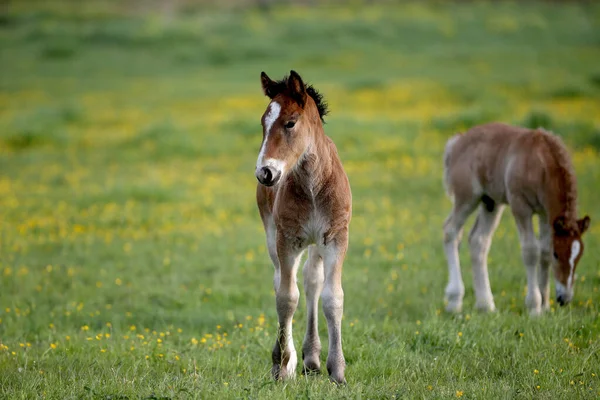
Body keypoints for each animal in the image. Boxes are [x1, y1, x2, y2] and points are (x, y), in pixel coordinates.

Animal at [254, 70, 352, 382]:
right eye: (263, 123)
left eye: (290, 122)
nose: (265, 172)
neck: (312, 185)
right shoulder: (287, 239)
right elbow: (286, 298)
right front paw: (283, 365)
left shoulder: (335, 237)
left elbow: (333, 298)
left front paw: (338, 370)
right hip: (272, 235)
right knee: (283, 282)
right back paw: (293, 359)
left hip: (316, 243)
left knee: (312, 281)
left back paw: (312, 357)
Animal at [442, 122, 588, 316]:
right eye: (557, 255)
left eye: (579, 256)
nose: (564, 299)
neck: (540, 164)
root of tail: (456, 142)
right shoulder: (520, 206)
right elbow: (531, 251)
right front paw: (534, 307)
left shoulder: (545, 213)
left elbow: (544, 251)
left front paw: (545, 306)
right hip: (467, 197)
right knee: (450, 231)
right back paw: (454, 301)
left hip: (491, 202)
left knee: (478, 241)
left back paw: (486, 305)